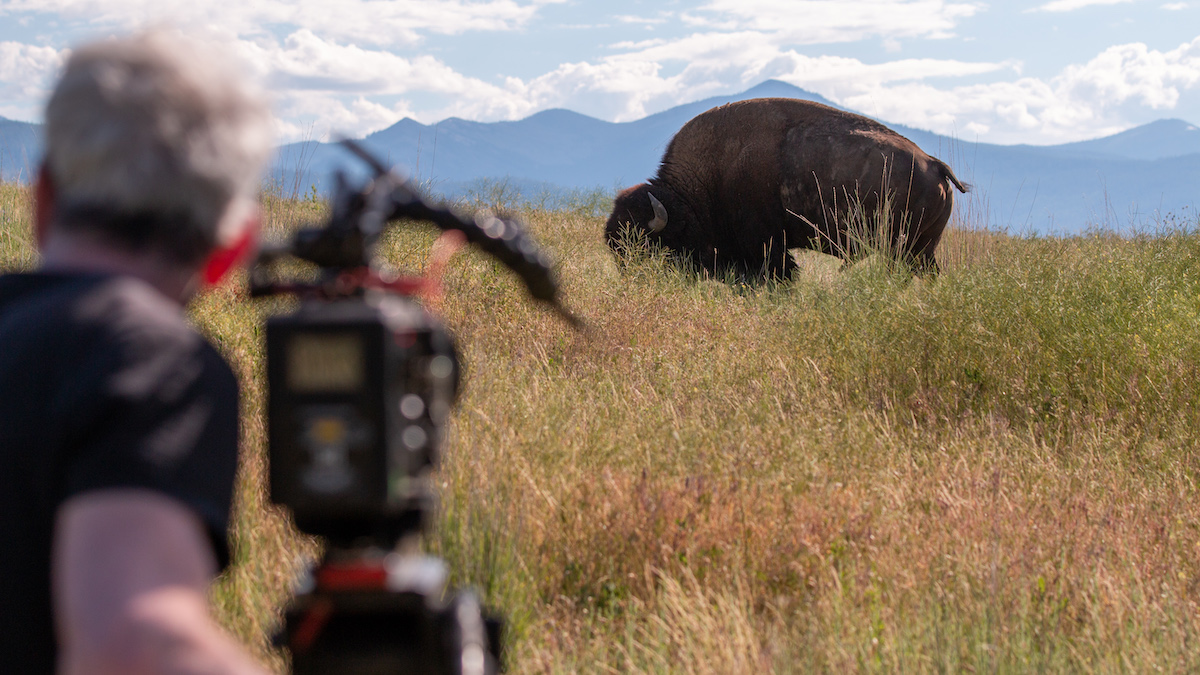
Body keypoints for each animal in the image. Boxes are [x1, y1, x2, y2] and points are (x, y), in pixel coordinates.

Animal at [605, 98, 968, 279]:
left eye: (647, 244)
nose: (632, 279)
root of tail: (935, 165)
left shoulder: (768, 247)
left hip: (908, 250)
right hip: (920, 250)